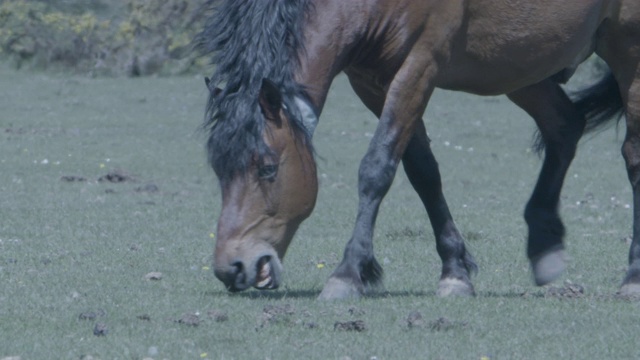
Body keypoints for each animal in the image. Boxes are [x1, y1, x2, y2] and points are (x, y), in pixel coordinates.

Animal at [198, 0, 636, 300]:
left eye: (268, 168)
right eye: (217, 171)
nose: (232, 266)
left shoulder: (420, 65)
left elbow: (376, 168)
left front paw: (347, 273)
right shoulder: (371, 80)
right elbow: (422, 171)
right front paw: (455, 271)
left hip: (625, 49)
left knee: (632, 156)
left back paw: (632, 275)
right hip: (521, 63)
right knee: (564, 126)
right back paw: (546, 244)